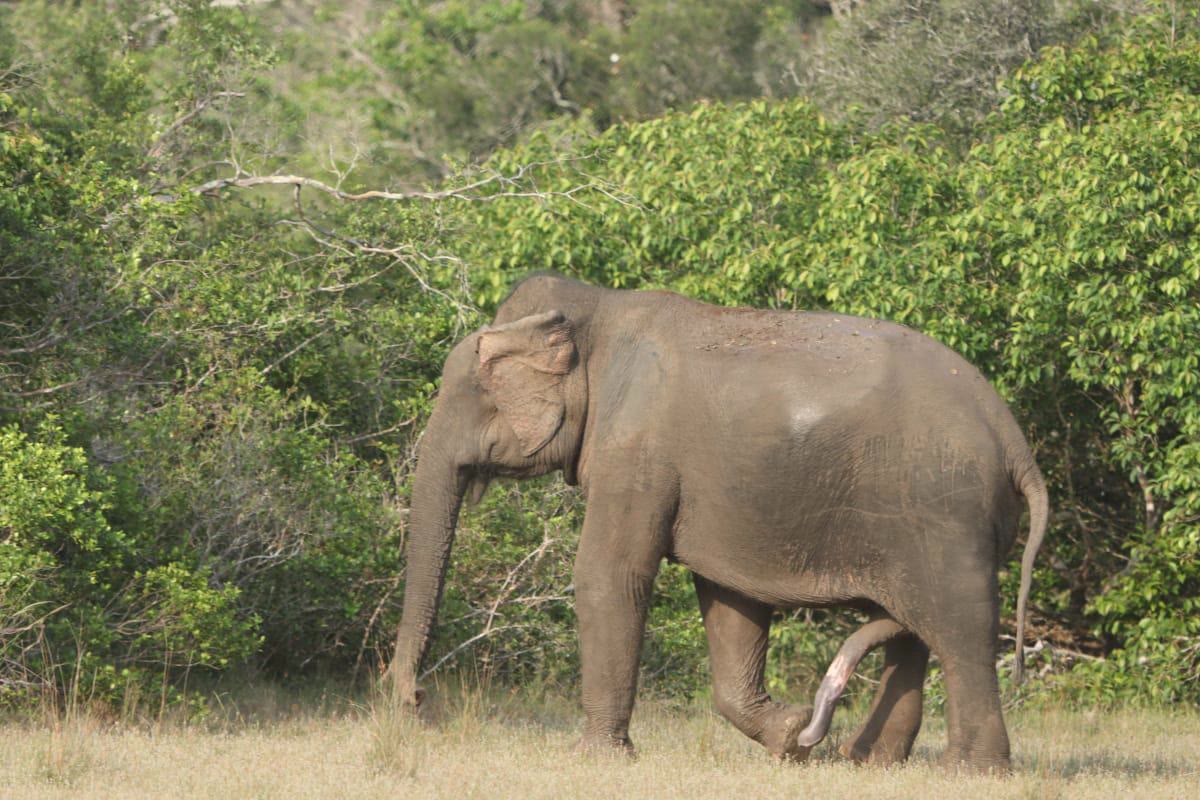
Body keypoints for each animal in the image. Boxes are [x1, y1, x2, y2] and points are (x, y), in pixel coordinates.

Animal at [389, 273, 1048, 772]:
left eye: (473, 391)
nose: (417, 702)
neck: (595, 309)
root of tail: (1015, 441)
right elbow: (732, 601)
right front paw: (789, 737)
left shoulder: (635, 451)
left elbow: (608, 575)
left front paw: (596, 760)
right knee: (913, 631)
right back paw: (870, 762)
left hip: (943, 510)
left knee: (959, 629)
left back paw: (972, 771)